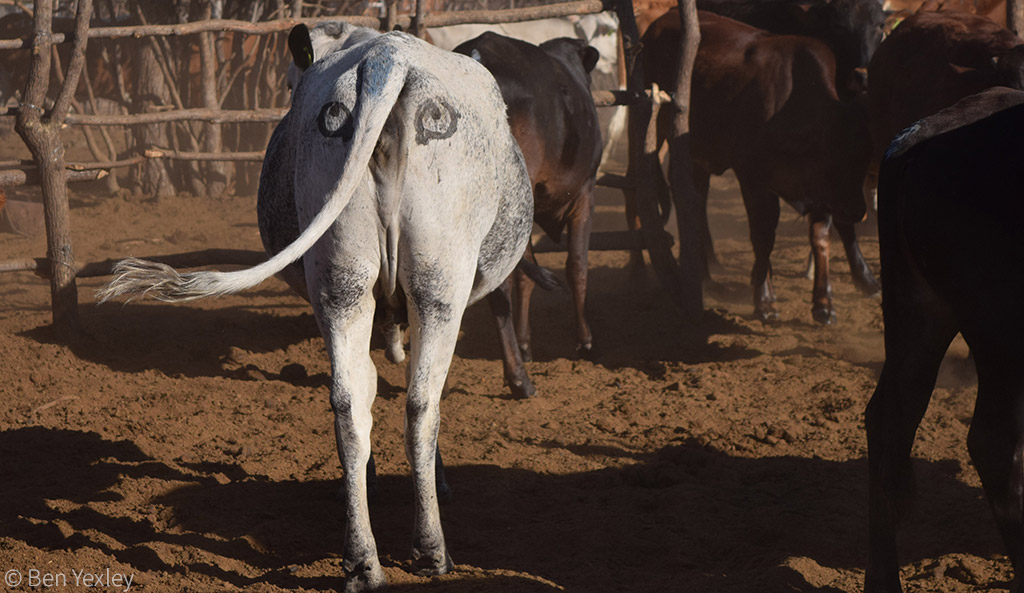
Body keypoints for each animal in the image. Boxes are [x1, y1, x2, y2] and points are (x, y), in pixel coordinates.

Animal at [454, 30, 602, 397]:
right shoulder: (586, 193)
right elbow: (577, 265)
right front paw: (586, 342)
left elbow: (527, 276)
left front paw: (525, 345)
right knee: (498, 282)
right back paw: (519, 379)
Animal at [638, 10, 872, 325]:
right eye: (831, 159)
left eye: (863, 158)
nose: (858, 211)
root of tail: (663, 18)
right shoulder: (753, 180)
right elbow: (763, 237)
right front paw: (765, 301)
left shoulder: (819, 194)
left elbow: (821, 238)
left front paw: (824, 303)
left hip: (696, 155)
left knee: (694, 200)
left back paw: (706, 272)